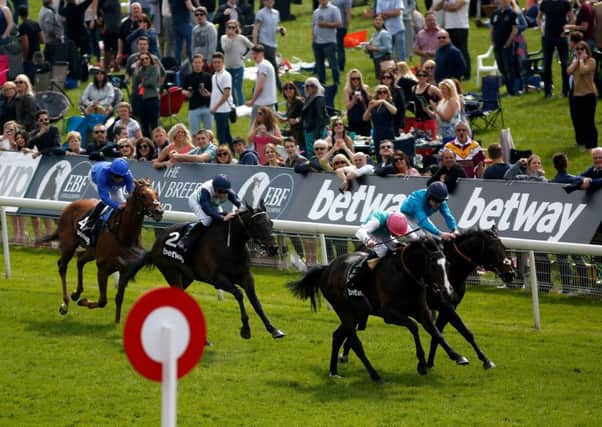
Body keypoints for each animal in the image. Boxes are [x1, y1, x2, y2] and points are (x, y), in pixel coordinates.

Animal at [38, 179, 163, 322]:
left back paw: (76, 293)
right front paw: (83, 301)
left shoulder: (125, 270)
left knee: (80, 259)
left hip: (92, 250)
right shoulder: (103, 269)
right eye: (142, 195)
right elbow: (103, 301)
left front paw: (117, 322)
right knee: (62, 265)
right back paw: (65, 304)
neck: (124, 236)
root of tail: (70, 206)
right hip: (69, 244)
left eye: (156, 193)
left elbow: (119, 298)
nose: (159, 210)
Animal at [120, 204, 284, 342]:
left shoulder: (246, 277)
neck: (230, 245)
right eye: (258, 224)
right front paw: (245, 329)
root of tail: (154, 246)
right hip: (171, 271)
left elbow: (256, 302)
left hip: (186, 277)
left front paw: (273, 329)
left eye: (271, 223)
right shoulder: (218, 279)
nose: (274, 248)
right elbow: (239, 294)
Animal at [288, 237, 468, 384]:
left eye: (447, 264)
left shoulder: (422, 311)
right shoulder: (390, 314)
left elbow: (437, 333)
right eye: (433, 265)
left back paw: (333, 371)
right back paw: (375, 375)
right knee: (356, 344)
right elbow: (414, 327)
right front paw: (422, 364)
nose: (448, 291)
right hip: (344, 311)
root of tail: (327, 268)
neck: (404, 275)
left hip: (356, 313)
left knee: (338, 336)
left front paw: (458, 357)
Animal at [340, 227, 512, 372]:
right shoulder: (443, 305)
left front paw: (485, 360)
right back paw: (345, 354)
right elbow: (445, 331)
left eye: (504, 247)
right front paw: (431, 362)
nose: (511, 274)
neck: (452, 271)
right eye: (492, 249)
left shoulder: (448, 306)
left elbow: (458, 331)